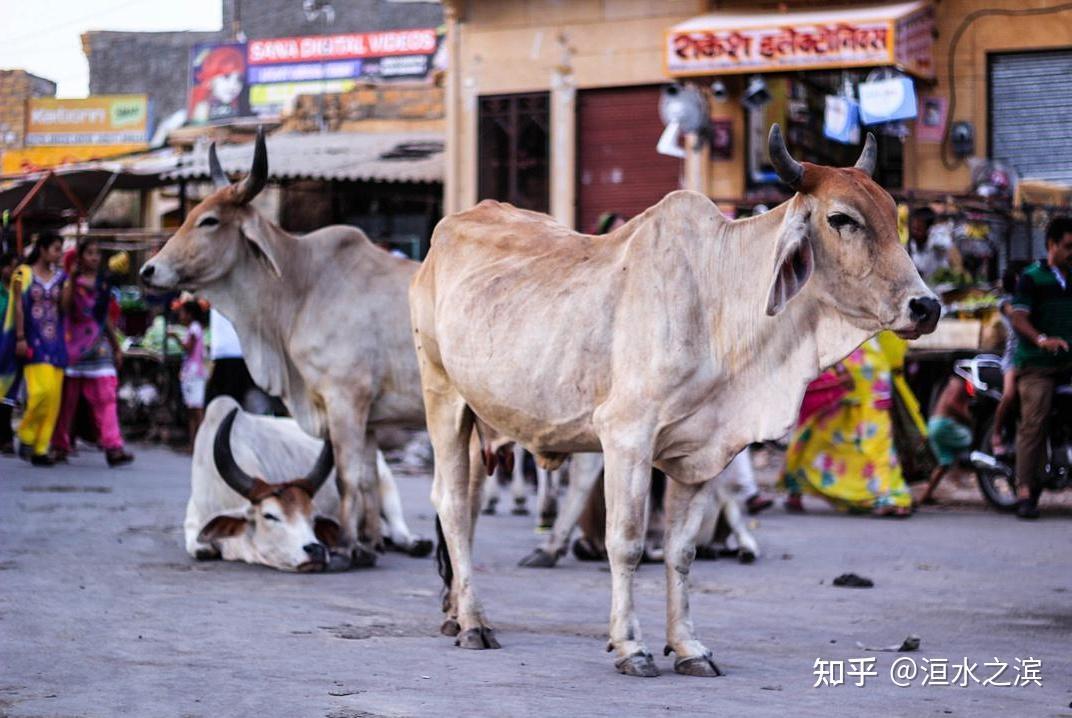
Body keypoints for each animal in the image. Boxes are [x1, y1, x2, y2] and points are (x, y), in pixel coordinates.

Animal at [185, 396, 430, 570]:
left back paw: (416, 543)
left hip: (385, 478)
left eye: (313, 517)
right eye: (269, 516)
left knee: (398, 529)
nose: (316, 550)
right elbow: (201, 550)